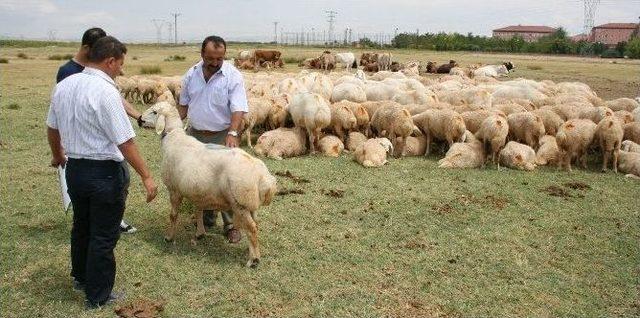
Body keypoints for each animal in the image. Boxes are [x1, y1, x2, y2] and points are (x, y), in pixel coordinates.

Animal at [141, 101, 276, 266]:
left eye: (154, 112)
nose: (139, 119)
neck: (173, 137)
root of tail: (262, 175)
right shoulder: (196, 191)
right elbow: (199, 211)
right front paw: (200, 233)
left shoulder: (174, 190)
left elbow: (173, 215)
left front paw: (169, 237)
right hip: (251, 204)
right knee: (256, 225)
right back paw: (252, 250)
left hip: (240, 203)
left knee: (251, 228)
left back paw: (254, 260)